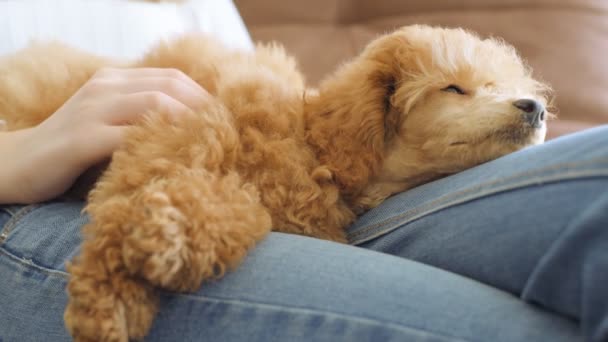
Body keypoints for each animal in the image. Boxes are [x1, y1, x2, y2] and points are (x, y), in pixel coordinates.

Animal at [0, 24, 552, 342]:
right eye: (453, 88)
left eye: (502, 85)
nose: (535, 108)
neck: (312, 146)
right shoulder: (177, 131)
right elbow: (125, 202)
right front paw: (108, 298)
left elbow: (232, 211)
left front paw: (161, 240)